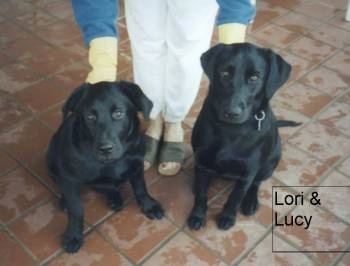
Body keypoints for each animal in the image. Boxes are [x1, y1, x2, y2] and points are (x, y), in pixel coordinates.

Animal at [46, 81, 164, 251]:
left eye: (118, 113)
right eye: (90, 117)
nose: (105, 149)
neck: (112, 162)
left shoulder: (137, 165)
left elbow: (141, 188)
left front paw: (149, 206)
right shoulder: (69, 178)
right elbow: (76, 209)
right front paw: (74, 235)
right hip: (51, 159)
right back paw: (64, 200)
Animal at [187, 42, 300, 230]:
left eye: (254, 78)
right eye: (224, 74)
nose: (232, 112)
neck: (231, 130)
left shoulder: (247, 173)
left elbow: (235, 197)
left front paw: (228, 217)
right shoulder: (202, 163)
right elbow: (202, 195)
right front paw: (197, 215)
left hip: (270, 163)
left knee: (256, 184)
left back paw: (250, 202)